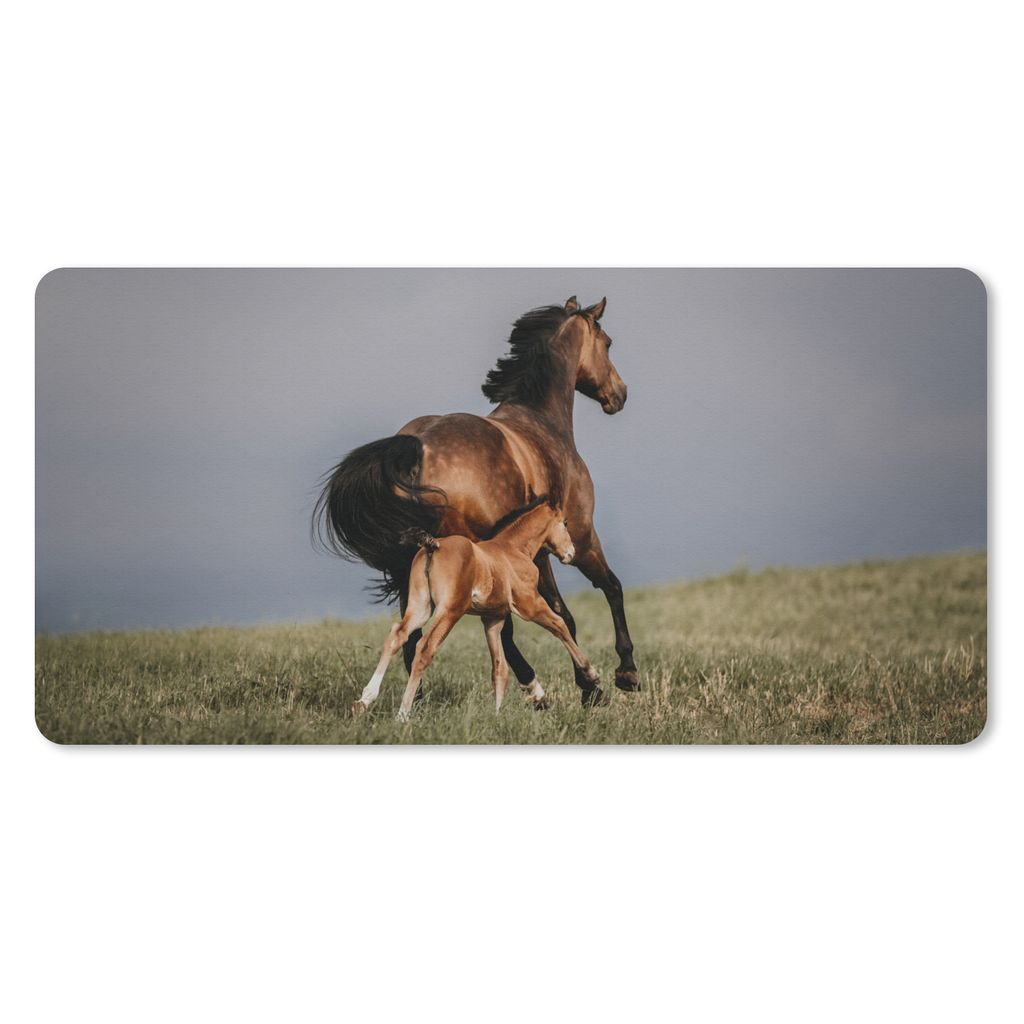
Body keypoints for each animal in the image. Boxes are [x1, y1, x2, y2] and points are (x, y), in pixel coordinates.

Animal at [351, 496, 600, 720]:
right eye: (565, 522)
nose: (570, 553)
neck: (514, 549)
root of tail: (433, 546)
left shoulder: (493, 620)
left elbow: (499, 669)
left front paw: (496, 717)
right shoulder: (530, 605)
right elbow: (560, 625)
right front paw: (592, 674)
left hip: (420, 607)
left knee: (397, 635)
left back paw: (364, 701)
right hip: (450, 610)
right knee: (424, 648)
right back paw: (403, 714)